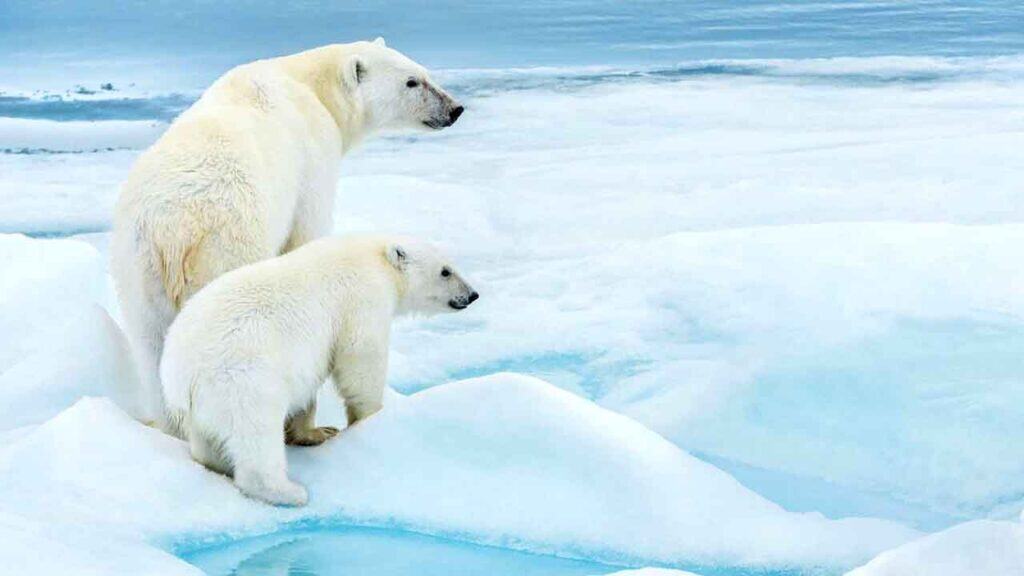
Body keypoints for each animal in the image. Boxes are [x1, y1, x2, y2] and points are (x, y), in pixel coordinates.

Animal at [110, 38, 463, 426]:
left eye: (424, 73)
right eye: (412, 82)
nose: (455, 108)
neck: (308, 83)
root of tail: (173, 230)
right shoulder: (313, 157)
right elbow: (308, 231)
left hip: (138, 268)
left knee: (151, 346)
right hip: (225, 246)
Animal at [159, 235, 478, 506]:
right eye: (446, 271)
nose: (472, 295)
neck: (375, 256)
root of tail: (181, 372)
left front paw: (318, 432)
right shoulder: (363, 298)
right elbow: (361, 359)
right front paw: (370, 418)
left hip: (200, 404)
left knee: (207, 439)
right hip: (242, 378)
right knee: (257, 433)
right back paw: (288, 492)